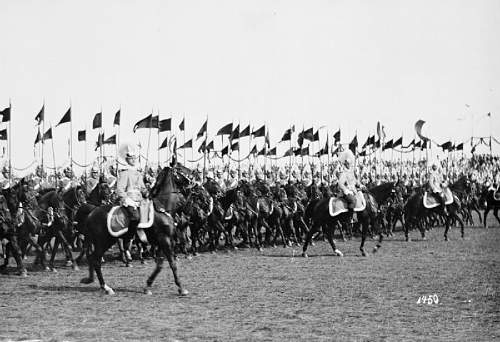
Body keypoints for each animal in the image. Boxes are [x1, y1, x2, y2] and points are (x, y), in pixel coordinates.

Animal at [80, 165, 189, 294]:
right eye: (181, 168)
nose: (191, 181)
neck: (162, 208)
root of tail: (91, 214)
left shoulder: (161, 243)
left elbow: (160, 265)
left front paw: (148, 285)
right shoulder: (165, 240)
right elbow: (172, 263)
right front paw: (181, 287)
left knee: (92, 258)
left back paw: (93, 280)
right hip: (103, 242)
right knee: (96, 260)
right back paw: (106, 287)